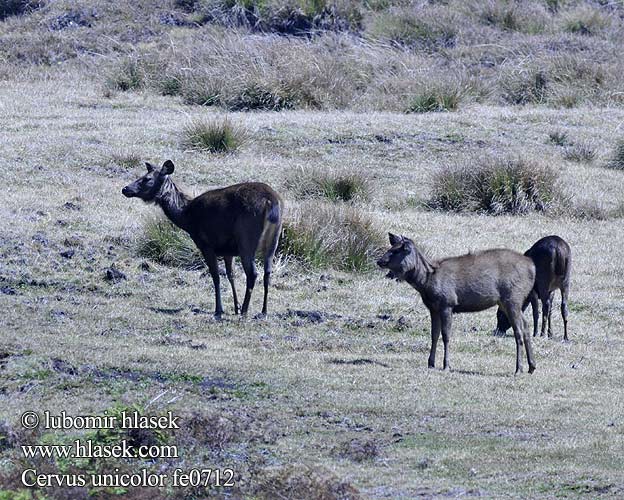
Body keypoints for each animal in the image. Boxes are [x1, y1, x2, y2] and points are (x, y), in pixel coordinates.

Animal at [122, 158, 282, 318]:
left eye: (147, 178)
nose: (125, 189)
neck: (186, 218)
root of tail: (270, 202)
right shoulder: (227, 250)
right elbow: (230, 275)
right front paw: (235, 307)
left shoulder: (206, 244)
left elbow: (216, 276)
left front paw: (219, 310)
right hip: (273, 240)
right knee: (267, 273)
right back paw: (263, 311)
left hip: (246, 238)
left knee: (252, 273)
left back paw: (245, 311)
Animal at [378, 232, 540, 374]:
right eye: (391, 248)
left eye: (395, 251)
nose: (379, 261)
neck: (426, 282)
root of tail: (532, 267)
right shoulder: (433, 308)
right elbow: (434, 335)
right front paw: (430, 363)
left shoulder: (447, 303)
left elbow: (446, 335)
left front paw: (446, 366)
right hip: (509, 302)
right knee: (526, 326)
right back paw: (531, 366)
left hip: (512, 298)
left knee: (518, 331)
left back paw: (518, 369)